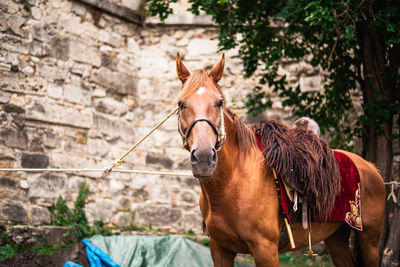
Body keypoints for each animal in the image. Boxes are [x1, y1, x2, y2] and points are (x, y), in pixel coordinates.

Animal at [173, 53, 386, 266]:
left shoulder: (265, 250)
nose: (203, 157)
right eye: (181, 104)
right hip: (336, 239)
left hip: (370, 239)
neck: (233, 184)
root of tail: (371, 168)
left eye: (219, 102)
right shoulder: (219, 249)